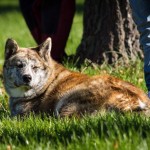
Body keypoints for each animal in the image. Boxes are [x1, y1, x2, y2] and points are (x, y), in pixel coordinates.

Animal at [2, 37, 150, 117]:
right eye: (19, 65)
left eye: (35, 67)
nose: (27, 78)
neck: (46, 82)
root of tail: (137, 101)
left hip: (69, 100)